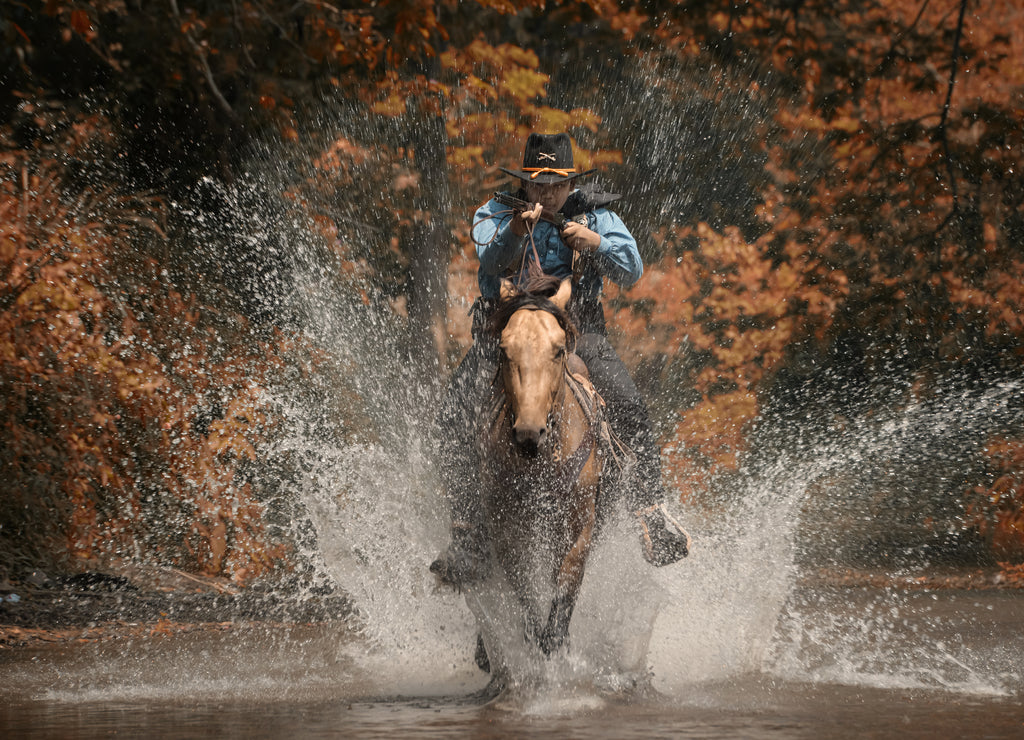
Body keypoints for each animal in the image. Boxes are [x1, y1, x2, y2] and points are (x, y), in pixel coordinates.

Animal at [475, 274, 610, 655]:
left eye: (558, 349)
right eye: (504, 349)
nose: (528, 433)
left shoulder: (580, 526)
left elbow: (565, 585)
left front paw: (556, 641)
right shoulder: (506, 529)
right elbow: (523, 587)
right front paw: (534, 635)